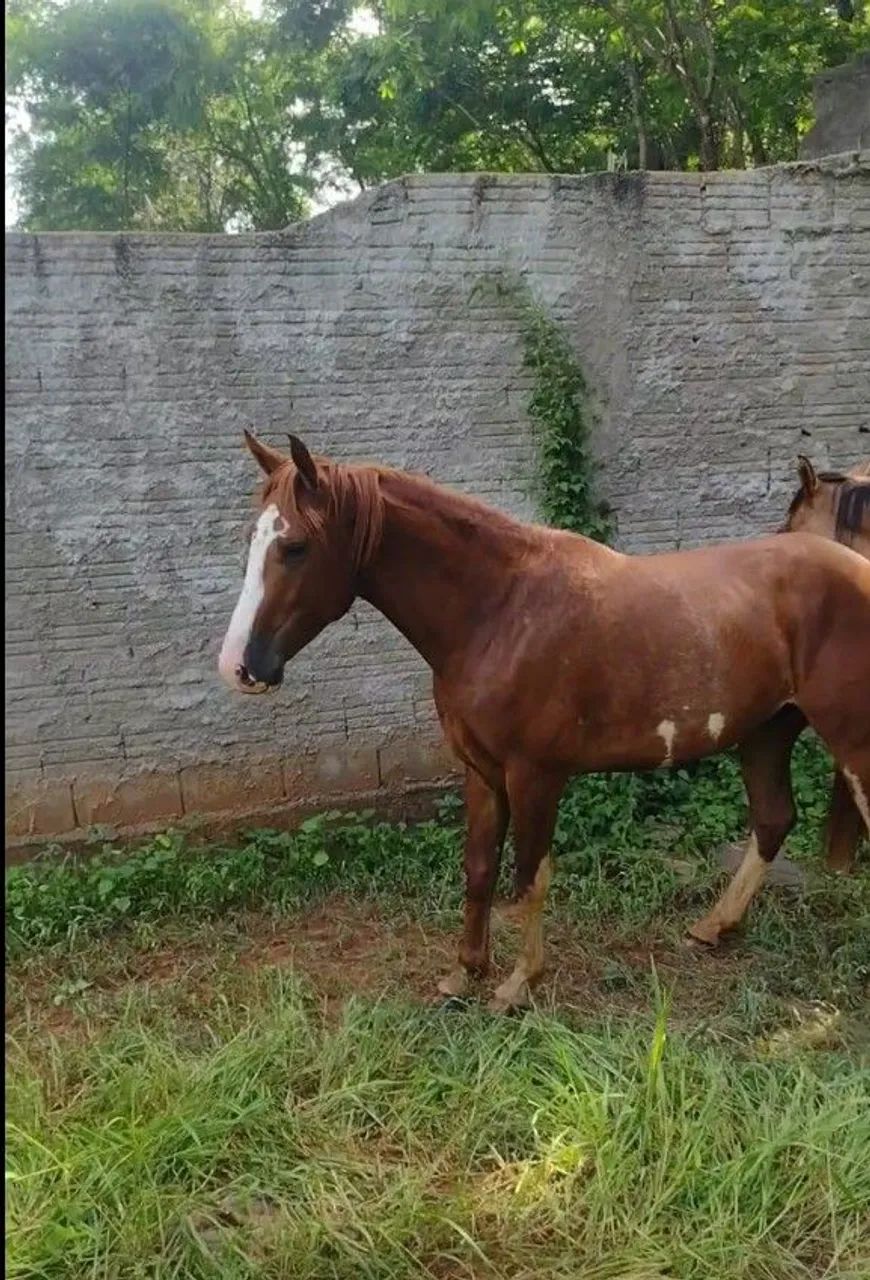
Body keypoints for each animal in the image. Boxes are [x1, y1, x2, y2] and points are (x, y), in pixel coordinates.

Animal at [219, 433, 870, 1012]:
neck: (499, 610)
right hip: (766, 733)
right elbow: (479, 869)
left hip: (849, 742)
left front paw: (517, 985)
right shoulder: (481, 773)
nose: (238, 666)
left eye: (295, 547)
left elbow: (530, 875)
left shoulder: (535, 775)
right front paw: (465, 973)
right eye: (252, 539)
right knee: (773, 819)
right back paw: (712, 927)